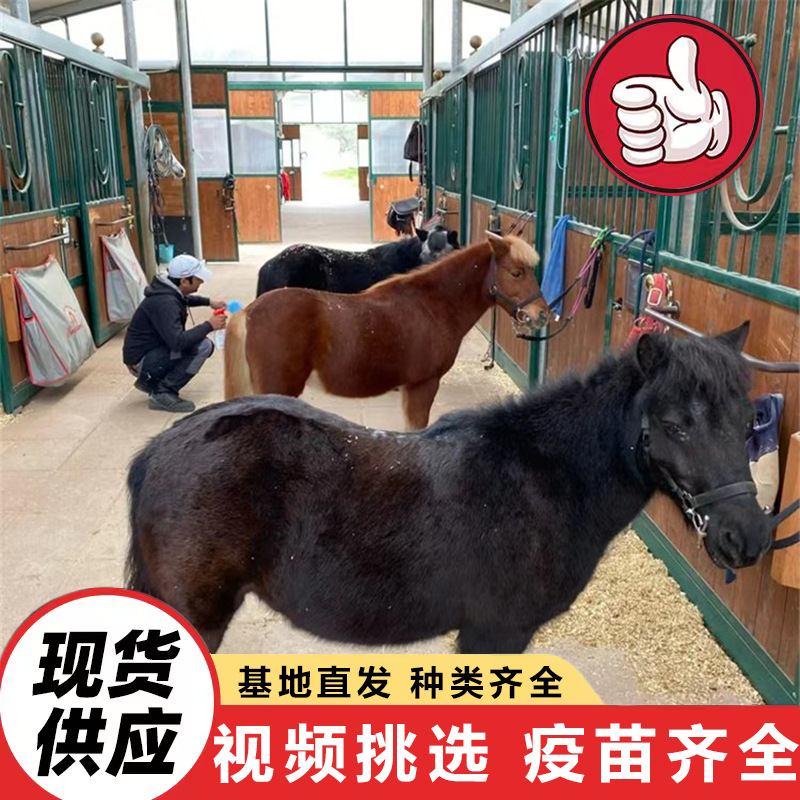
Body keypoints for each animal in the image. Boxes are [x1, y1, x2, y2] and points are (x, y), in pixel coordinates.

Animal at [127, 322, 770, 654]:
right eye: (676, 425)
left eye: (747, 423)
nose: (748, 538)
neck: (543, 479)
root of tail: (162, 447)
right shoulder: (496, 633)